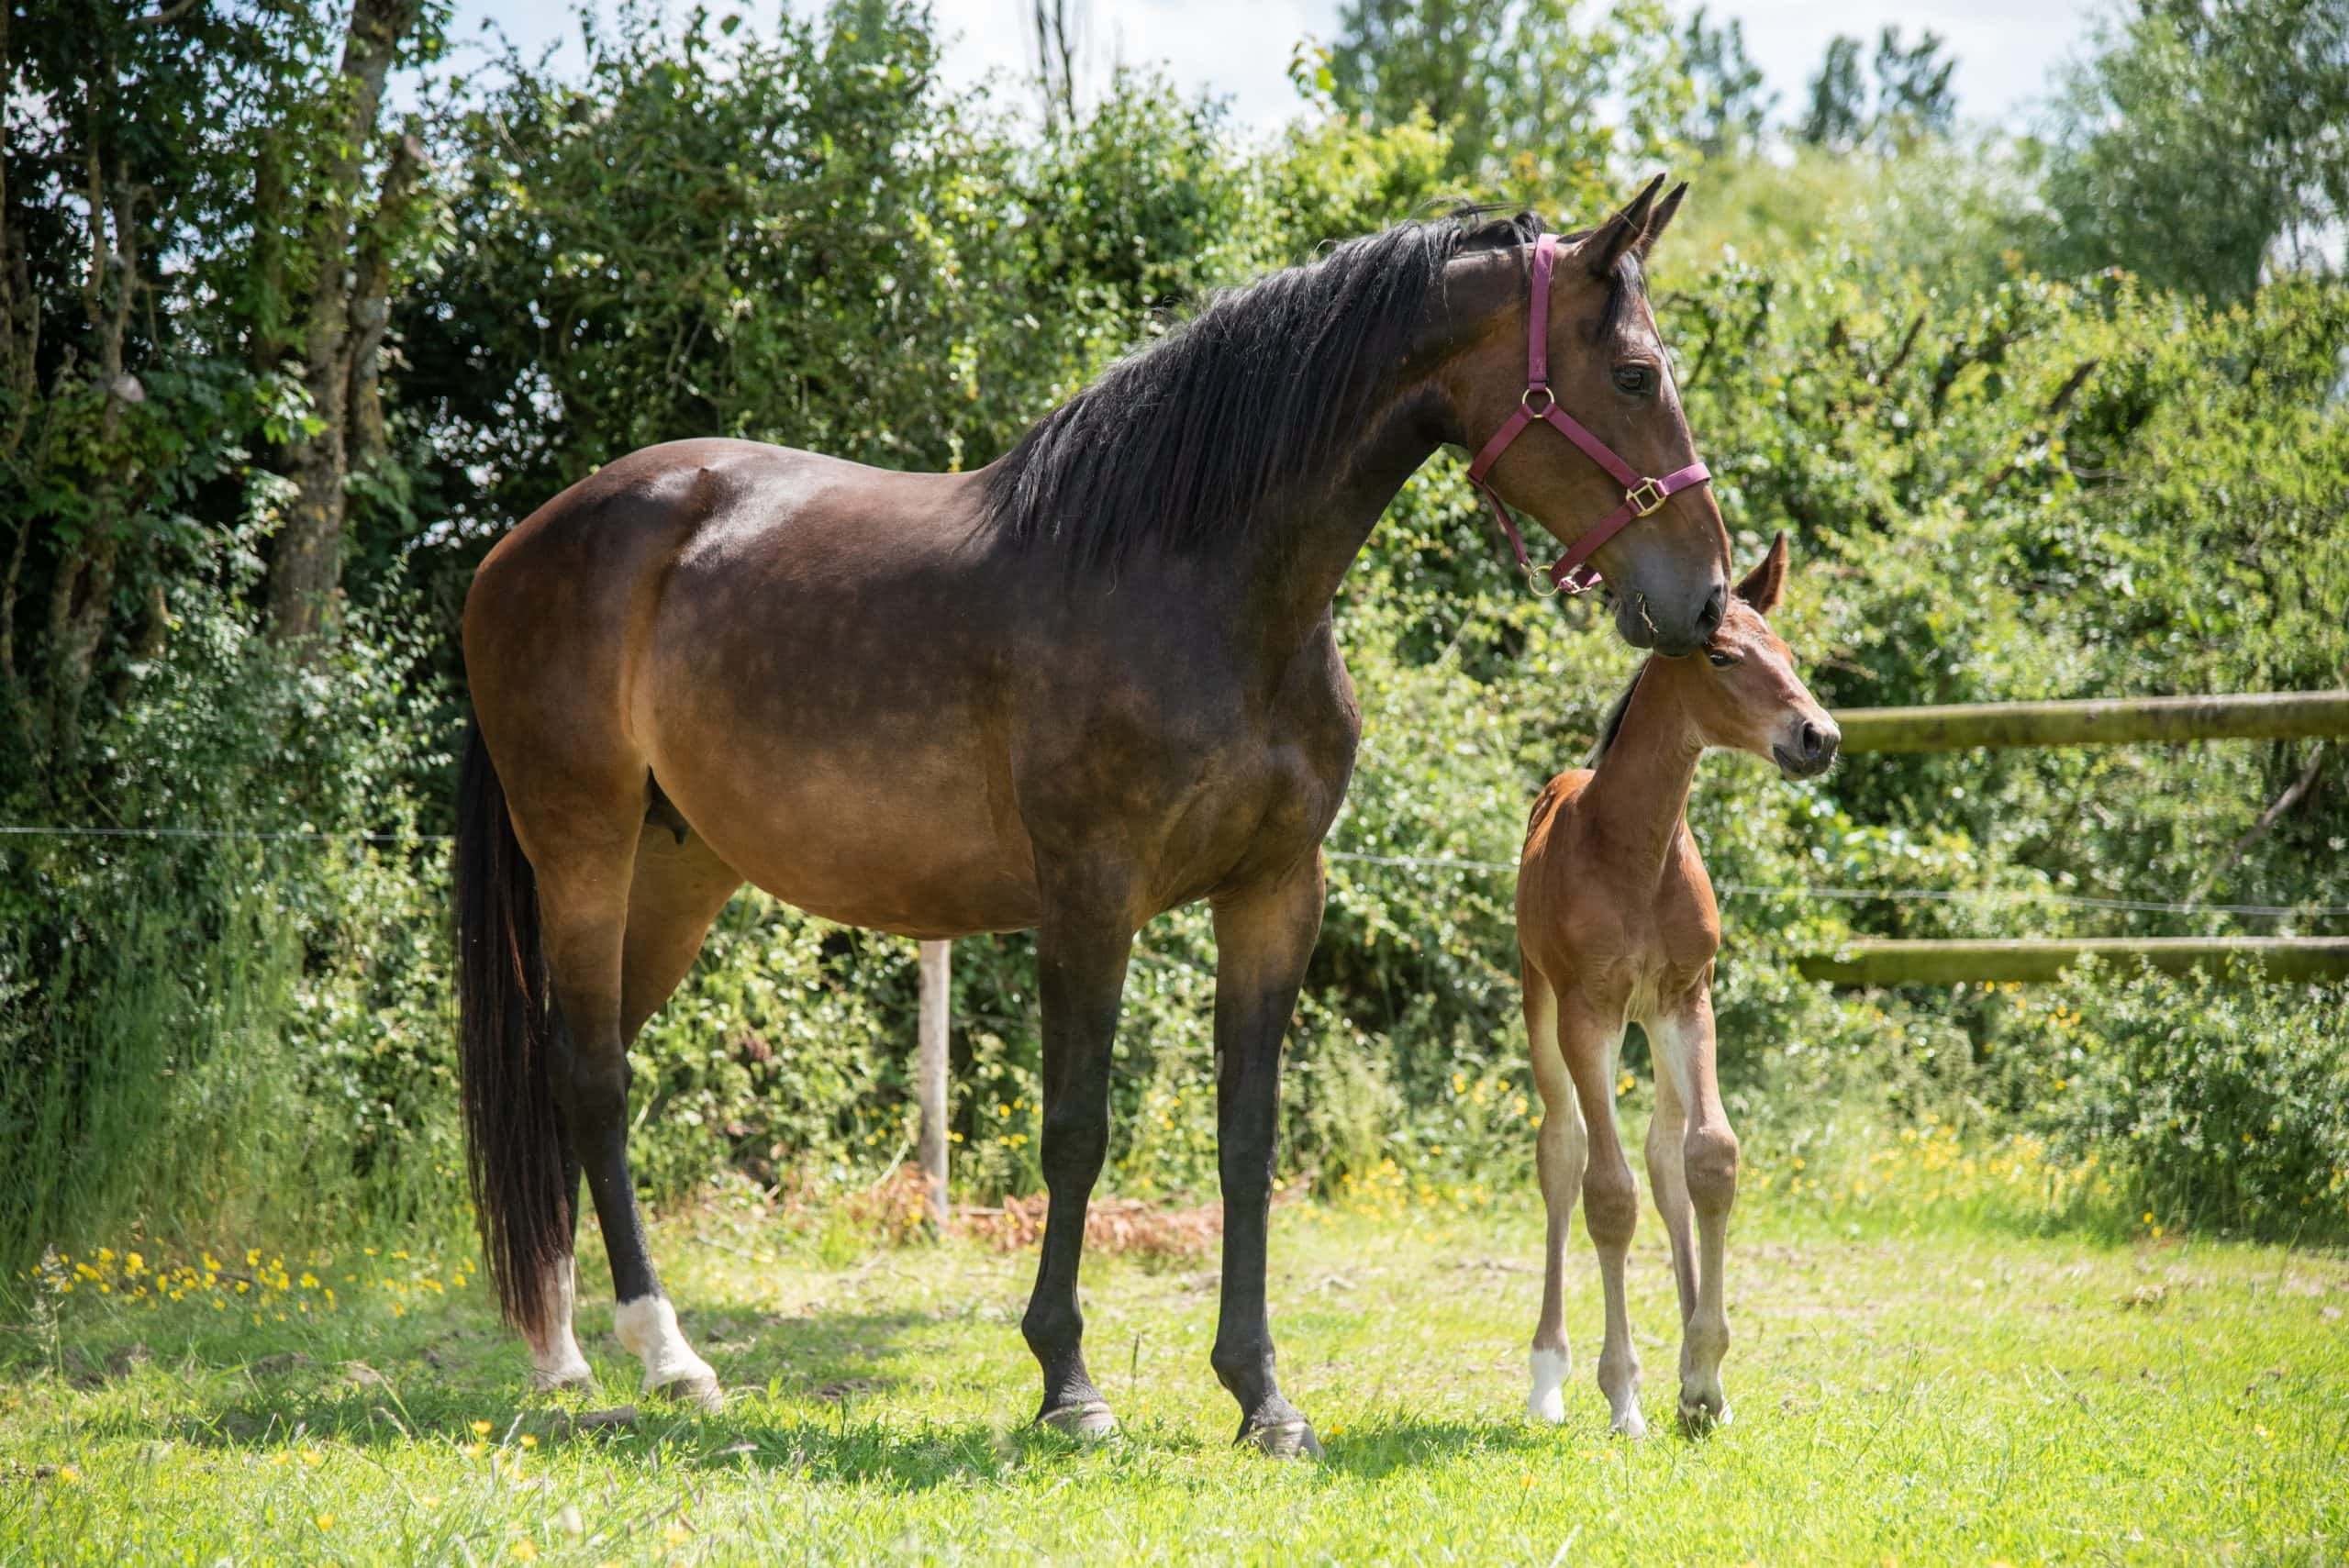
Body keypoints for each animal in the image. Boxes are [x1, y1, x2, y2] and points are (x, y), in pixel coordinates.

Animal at [1512, 532, 1842, 1436]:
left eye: (1788, 652)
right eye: (1722, 656)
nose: (1819, 737)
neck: (1634, 850)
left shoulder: (1688, 999)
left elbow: (1709, 1158)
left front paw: (1703, 1376)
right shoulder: (1588, 1012)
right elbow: (1608, 1192)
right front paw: (1623, 1393)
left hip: (1651, 1024)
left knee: (1666, 1156)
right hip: (1541, 1002)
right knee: (1563, 1150)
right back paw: (1548, 1378)